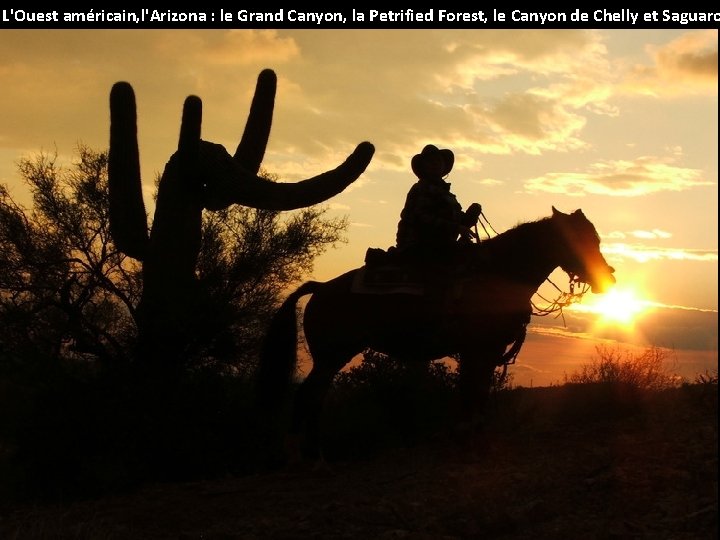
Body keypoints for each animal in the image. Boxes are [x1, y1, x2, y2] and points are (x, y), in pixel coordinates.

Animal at [256, 207, 616, 460]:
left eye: (596, 239)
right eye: (579, 240)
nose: (608, 278)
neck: (499, 275)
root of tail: (320, 288)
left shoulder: (486, 351)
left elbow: (477, 393)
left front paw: (473, 441)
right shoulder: (478, 349)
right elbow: (472, 392)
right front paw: (468, 441)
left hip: (330, 358)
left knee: (315, 397)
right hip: (330, 356)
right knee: (308, 396)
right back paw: (304, 456)